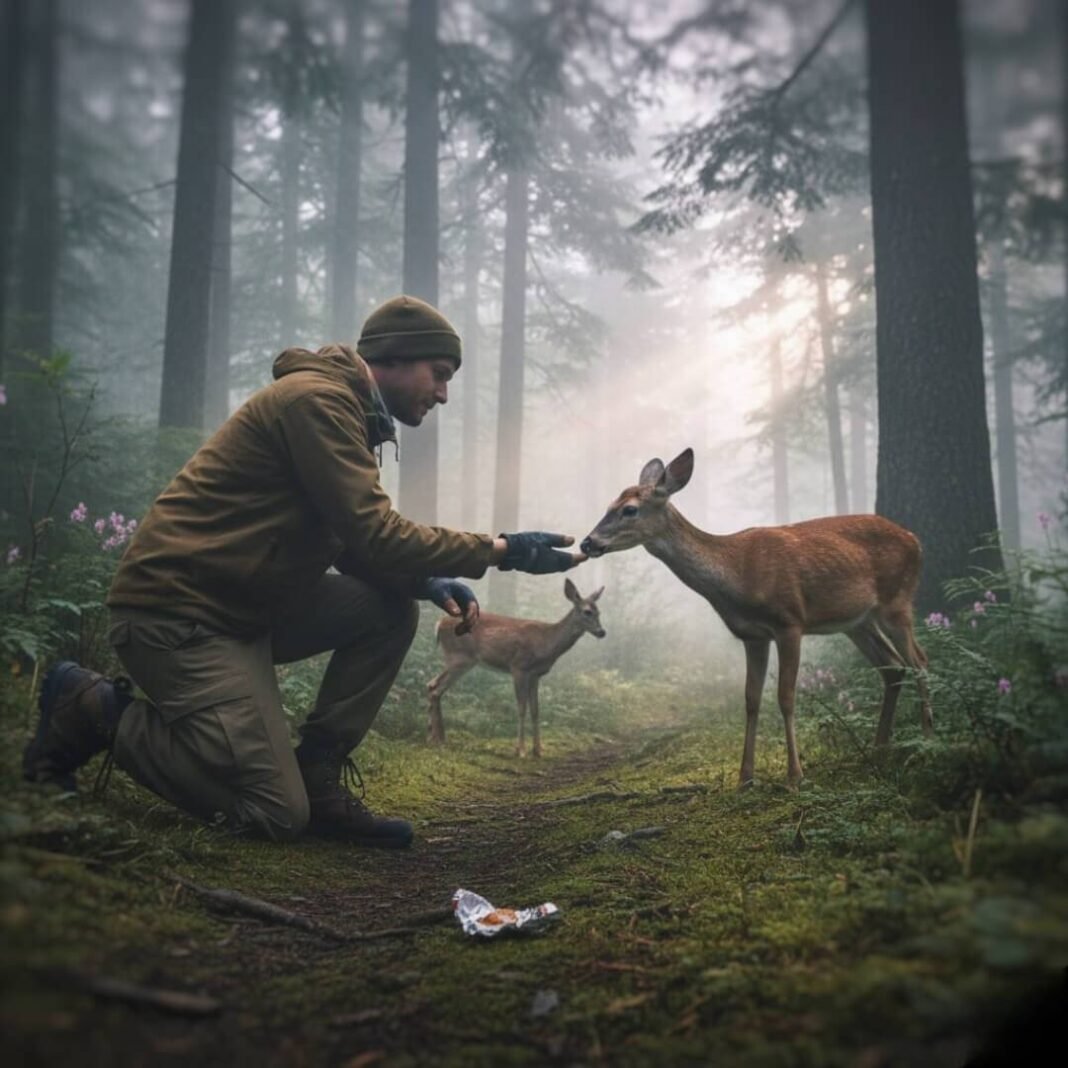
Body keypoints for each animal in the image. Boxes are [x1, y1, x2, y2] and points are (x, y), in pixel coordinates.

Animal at [426, 578, 606, 757]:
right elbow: (521, 708)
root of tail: (439, 624)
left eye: (599, 612)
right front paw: (521, 750)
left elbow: (535, 710)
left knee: (433, 686)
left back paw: (438, 737)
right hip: (459, 657)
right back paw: (436, 738)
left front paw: (538, 750)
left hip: (461, 660)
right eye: (587, 612)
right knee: (435, 687)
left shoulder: (535, 675)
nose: (602, 632)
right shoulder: (519, 667)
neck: (547, 642)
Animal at [580, 448, 931, 788]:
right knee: (893, 667)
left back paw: (927, 741)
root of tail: (915, 540)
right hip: (858, 622)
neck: (737, 575)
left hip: (897, 602)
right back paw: (880, 748)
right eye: (610, 504)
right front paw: (745, 777)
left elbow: (786, 696)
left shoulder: (790, 621)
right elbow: (751, 699)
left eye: (629, 510)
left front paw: (794, 776)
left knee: (919, 661)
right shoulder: (752, 635)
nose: (587, 542)